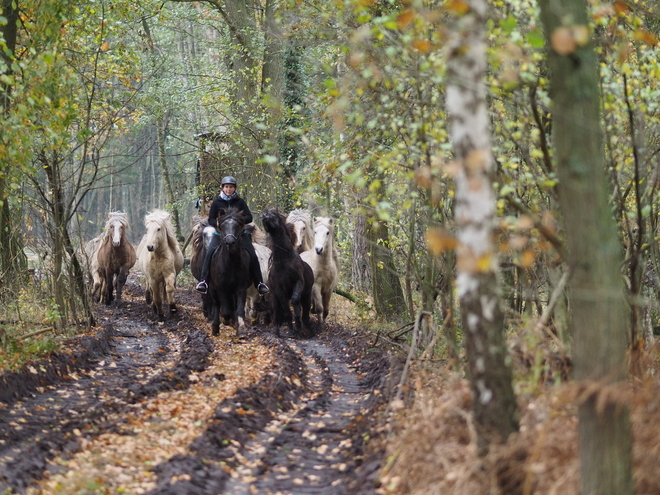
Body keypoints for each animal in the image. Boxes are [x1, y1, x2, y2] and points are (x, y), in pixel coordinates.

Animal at [260, 207, 314, 340]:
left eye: (274, 214)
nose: (263, 216)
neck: (283, 260)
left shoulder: (298, 283)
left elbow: (294, 300)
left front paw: (298, 325)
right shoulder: (279, 291)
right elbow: (287, 311)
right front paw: (291, 330)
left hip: (307, 296)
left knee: (305, 313)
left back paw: (308, 329)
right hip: (274, 298)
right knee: (276, 312)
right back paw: (277, 331)